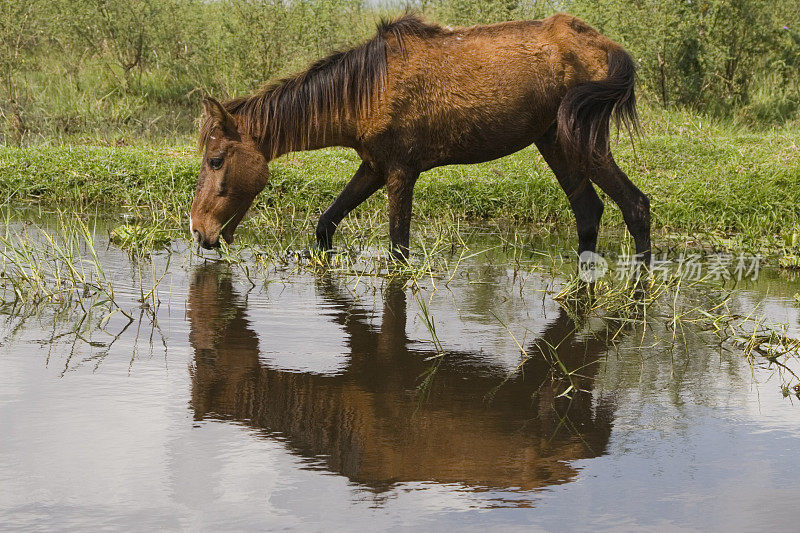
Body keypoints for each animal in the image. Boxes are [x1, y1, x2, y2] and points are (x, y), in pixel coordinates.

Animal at [192, 11, 648, 262]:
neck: (365, 90)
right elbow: (326, 224)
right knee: (589, 212)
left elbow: (399, 251)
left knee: (636, 206)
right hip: (555, 142)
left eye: (216, 160)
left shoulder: (400, 173)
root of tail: (606, 46)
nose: (198, 231)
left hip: (585, 145)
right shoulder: (373, 167)